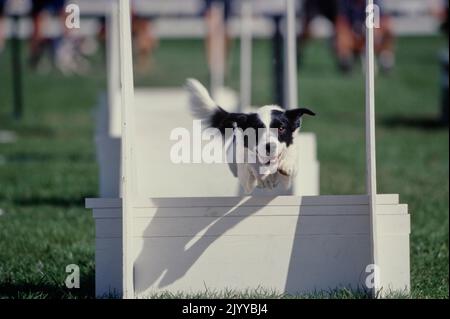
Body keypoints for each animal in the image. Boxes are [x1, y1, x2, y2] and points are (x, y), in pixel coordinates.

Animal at [185, 79, 314, 195]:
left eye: (281, 128)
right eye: (256, 130)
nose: (270, 147)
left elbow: (289, 160)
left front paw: (286, 165)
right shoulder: (246, 172)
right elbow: (252, 165)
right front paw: (263, 177)